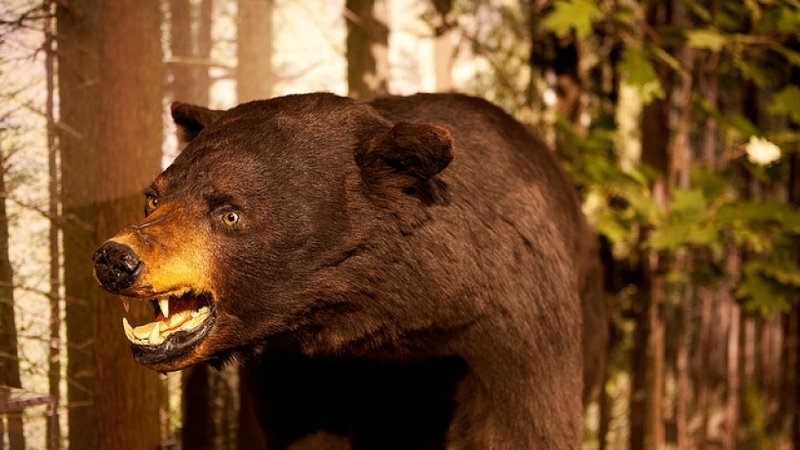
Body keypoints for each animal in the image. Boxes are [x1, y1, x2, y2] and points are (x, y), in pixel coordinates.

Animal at [92, 92, 606, 449]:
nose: (116, 259)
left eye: (229, 213)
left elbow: (524, 421)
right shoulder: (300, 364)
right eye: (154, 197)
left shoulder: (510, 322)